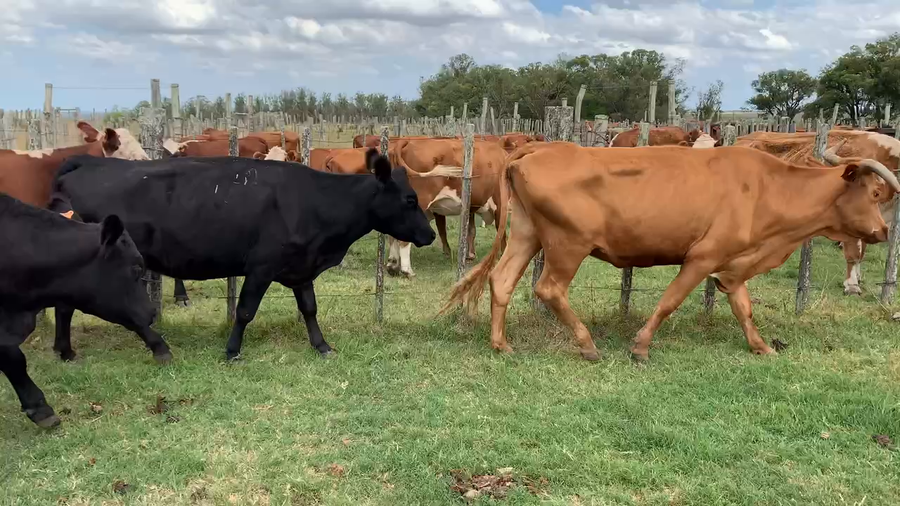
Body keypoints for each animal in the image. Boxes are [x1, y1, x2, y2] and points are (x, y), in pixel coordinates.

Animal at [49, 149, 441, 361]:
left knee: (65, 305)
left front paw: (322, 345)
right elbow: (245, 310)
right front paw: (232, 350)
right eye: (410, 200)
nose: (430, 234)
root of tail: (87, 162)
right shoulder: (262, 266)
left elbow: (309, 308)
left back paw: (64, 349)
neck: (315, 202)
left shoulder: (300, 268)